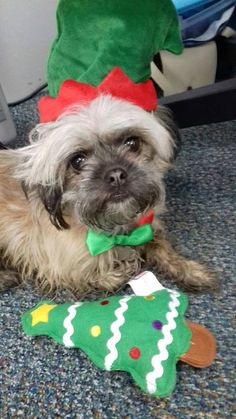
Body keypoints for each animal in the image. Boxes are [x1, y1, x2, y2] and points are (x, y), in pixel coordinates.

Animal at [0, 96, 216, 296]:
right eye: (77, 161)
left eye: (132, 143)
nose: (116, 174)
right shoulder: (60, 267)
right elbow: (105, 276)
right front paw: (123, 269)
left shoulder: (147, 227)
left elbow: (162, 247)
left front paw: (189, 270)